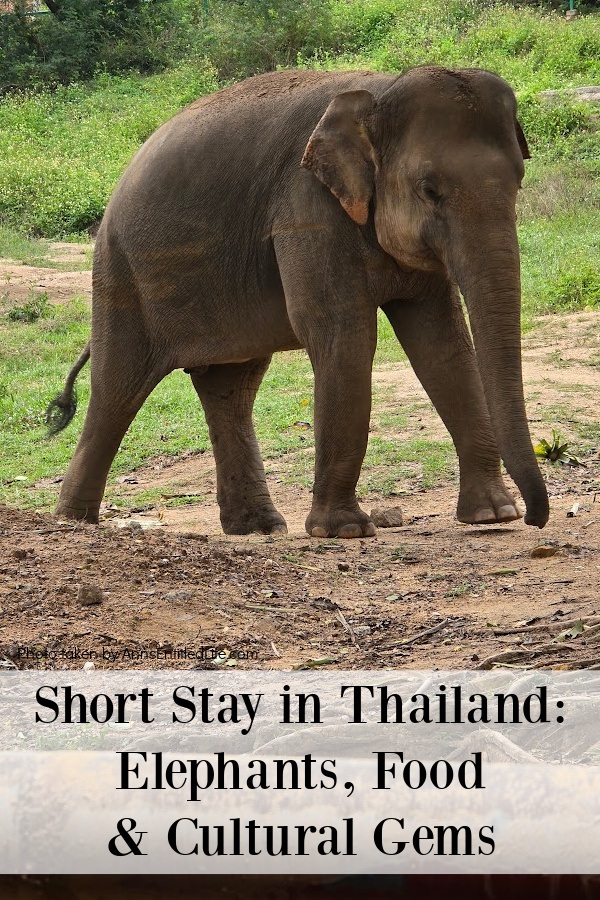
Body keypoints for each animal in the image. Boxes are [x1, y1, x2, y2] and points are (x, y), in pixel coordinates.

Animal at [47, 65, 549, 538]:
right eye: (430, 189)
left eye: (519, 181)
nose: (535, 518)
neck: (380, 93)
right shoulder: (306, 210)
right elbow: (345, 335)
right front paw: (344, 530)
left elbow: (442, 343)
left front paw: (492, 515)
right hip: (120, 273)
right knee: (117, 392)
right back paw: (73, 523)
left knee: (231, 388)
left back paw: (258, 527)